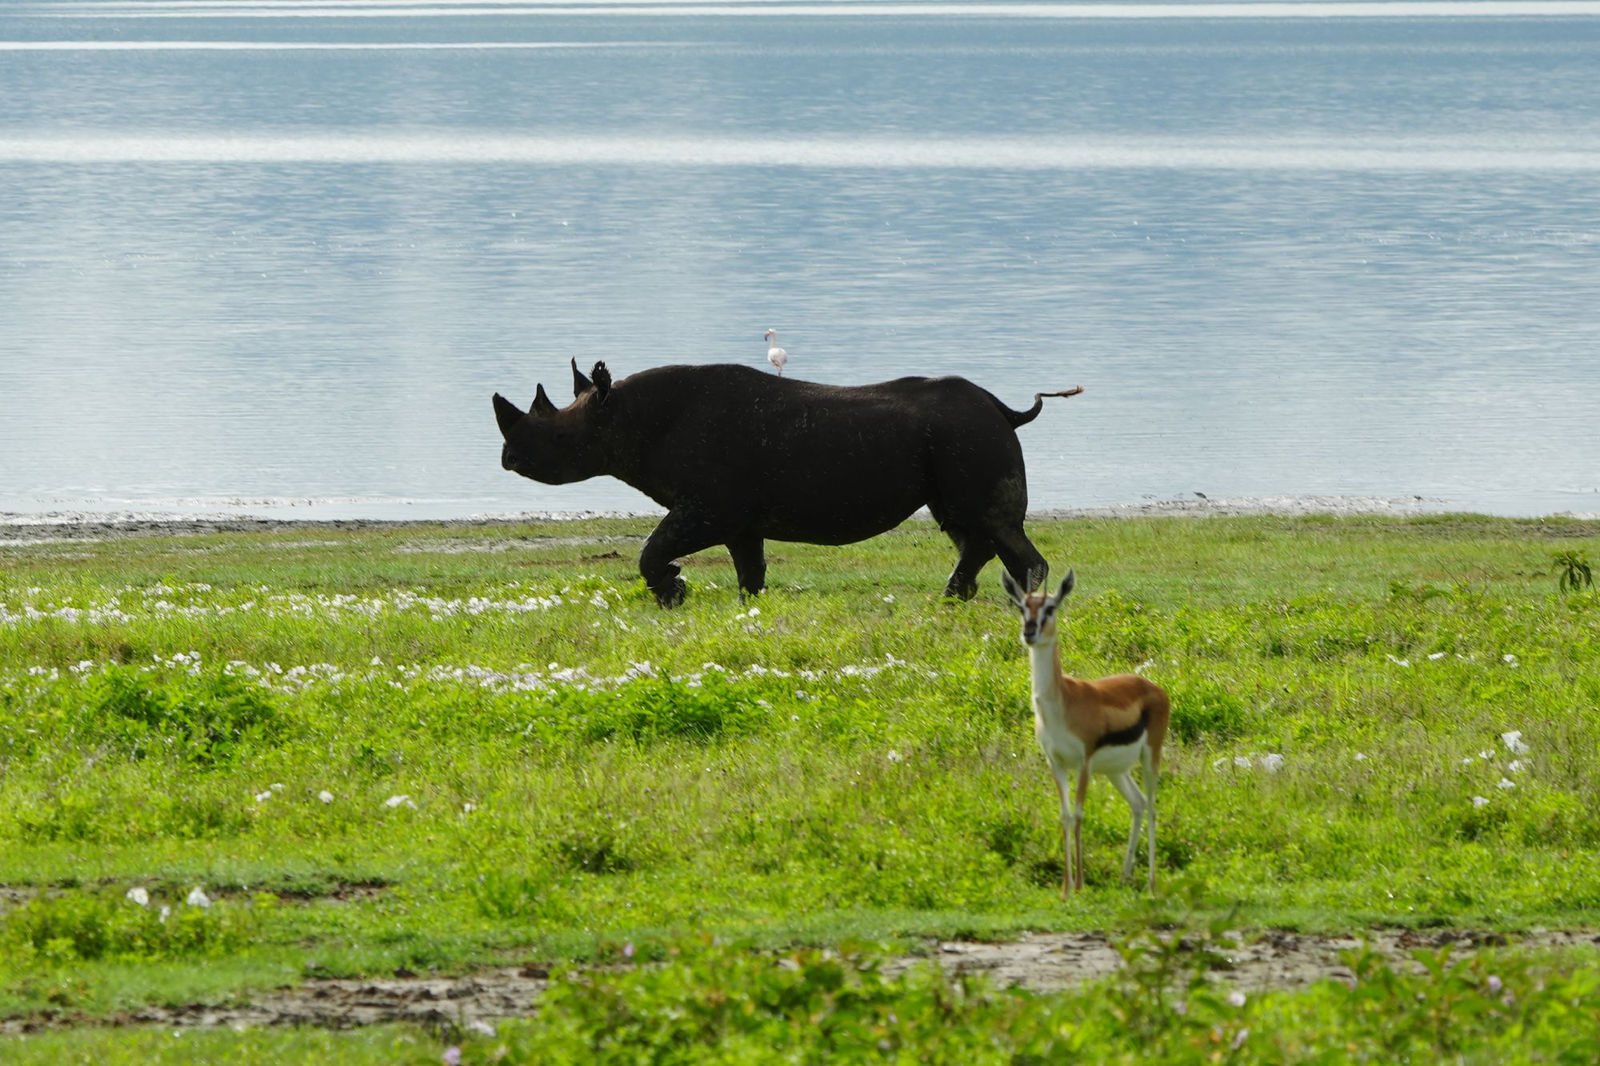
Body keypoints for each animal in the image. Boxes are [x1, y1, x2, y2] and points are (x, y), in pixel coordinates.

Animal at [492, 360, 1080, 607]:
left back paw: (1026, 606)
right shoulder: (735, 516)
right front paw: (747, 604)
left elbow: (652, 549)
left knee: (992, 524)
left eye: (559, 440)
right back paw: (956, 598)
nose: (509, 459)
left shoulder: (709, 507)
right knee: (965, 526)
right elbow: (749, 566)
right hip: (958, 439)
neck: (623, 417)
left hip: (968, 434)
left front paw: (673, 594)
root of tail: (1001, 409)